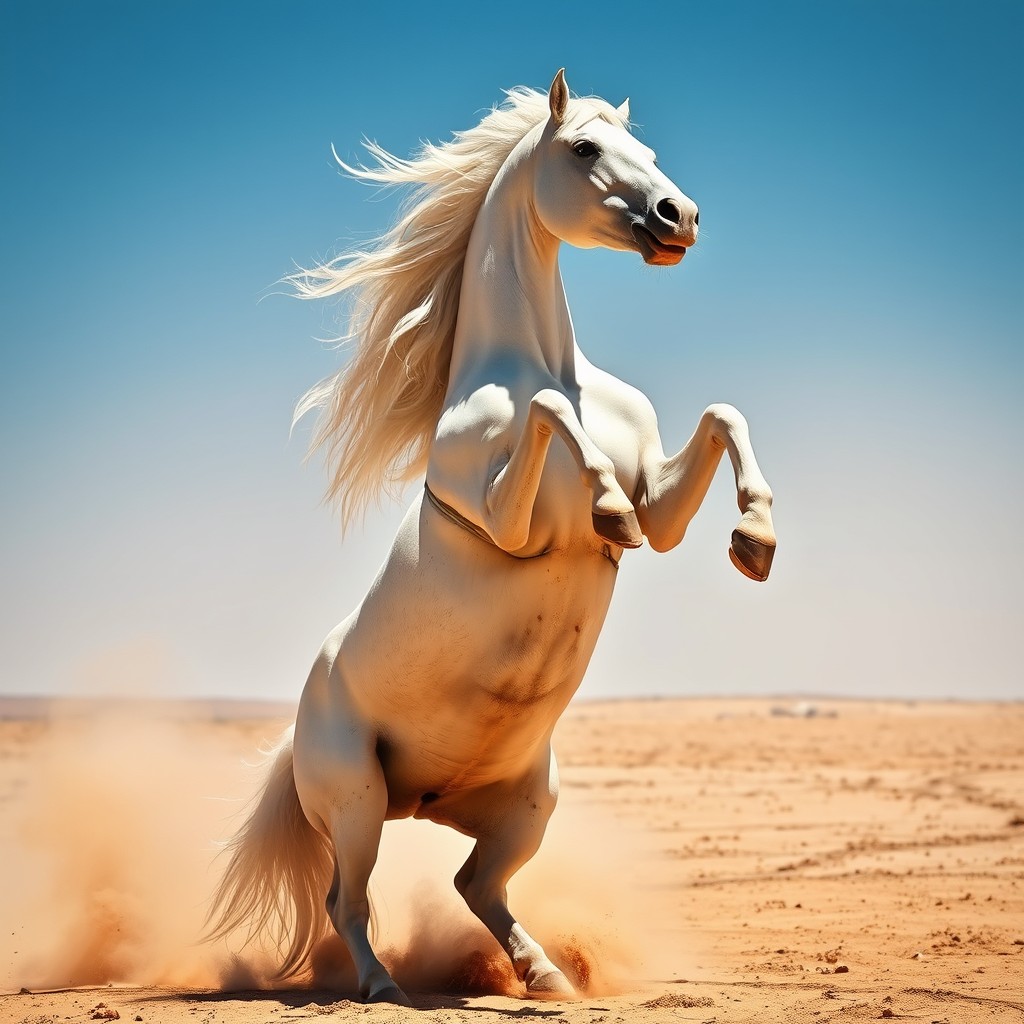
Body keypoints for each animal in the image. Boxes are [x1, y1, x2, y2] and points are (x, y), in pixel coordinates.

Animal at [208, 69, 776, 1004]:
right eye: (582, 148)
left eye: (648, 150)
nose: (678, 217)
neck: (543, 361)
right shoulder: (506, 520)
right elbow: (550, 417)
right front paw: (606, 506)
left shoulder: (666, 512)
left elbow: (722, 415)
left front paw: (756, 538)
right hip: (359, 801)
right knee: (346, 900)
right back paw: (383, 985)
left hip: (527, 804)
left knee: (475, 883)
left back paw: (547, 975)